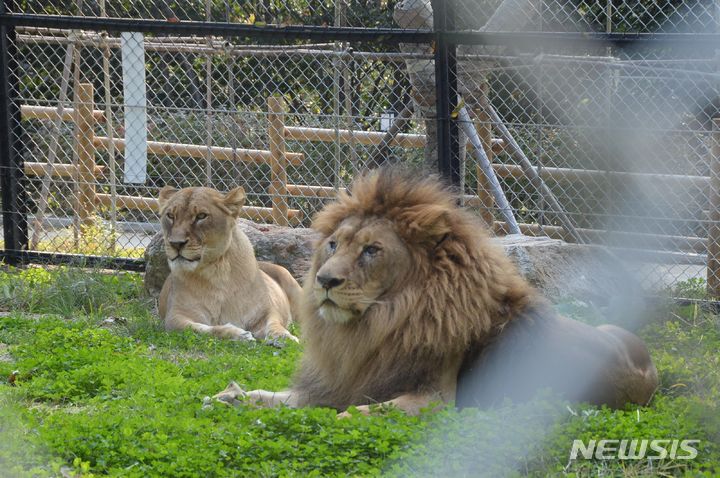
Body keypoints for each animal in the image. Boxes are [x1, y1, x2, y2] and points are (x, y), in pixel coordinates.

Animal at [158, 186, 300, 344]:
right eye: (170, 215)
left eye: (201, 216)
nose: (176, 243)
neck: (216, 271)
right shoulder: (175, 318)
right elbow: (204, 329)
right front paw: (239, 334)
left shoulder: (265, 311)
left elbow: (274, 324)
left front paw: (284, 337)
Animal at [214, 168, 660, 414]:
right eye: (334, 245)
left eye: (372, 250)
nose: (324, 281)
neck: (376, 327)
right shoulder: (342, 383)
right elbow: (274, 397)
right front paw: (231, 396)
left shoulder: (436, 398)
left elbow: (356, 415)